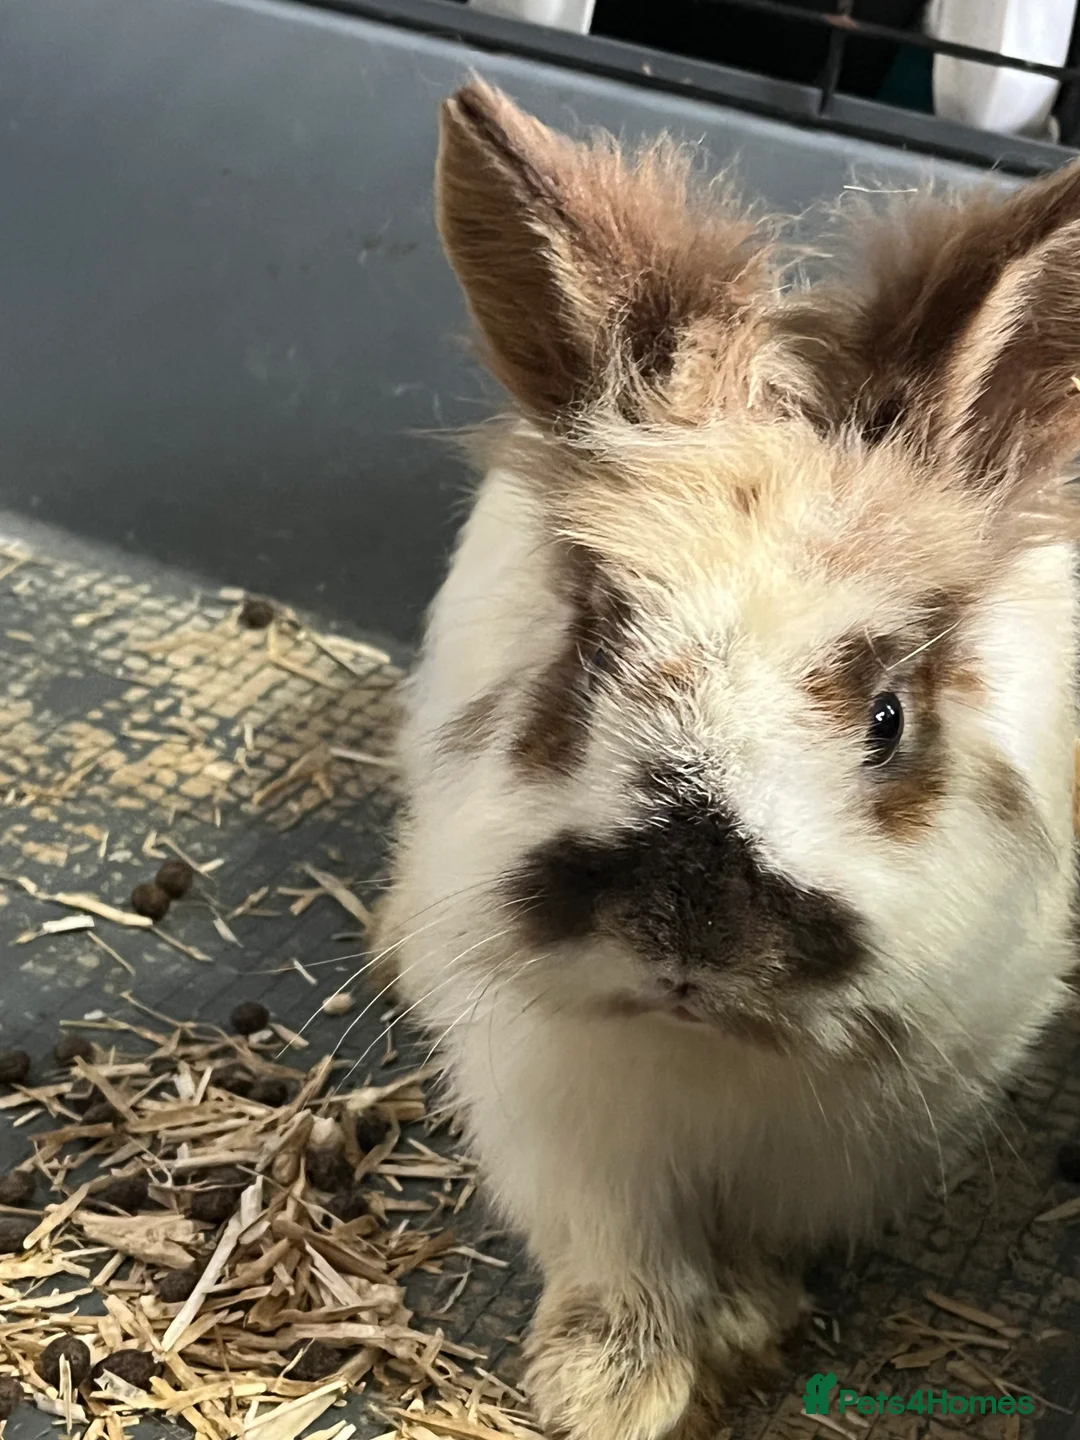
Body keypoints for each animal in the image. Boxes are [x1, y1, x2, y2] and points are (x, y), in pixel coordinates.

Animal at [379, 79, 1080, 1440]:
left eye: (888, 716)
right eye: (591, 651)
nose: (688, 937)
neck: (704, 1052)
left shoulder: (840, 1151)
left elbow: (756, 1245)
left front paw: (746, 1326)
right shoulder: (567, 1128)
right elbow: (621, 1255)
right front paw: (613, 1387)